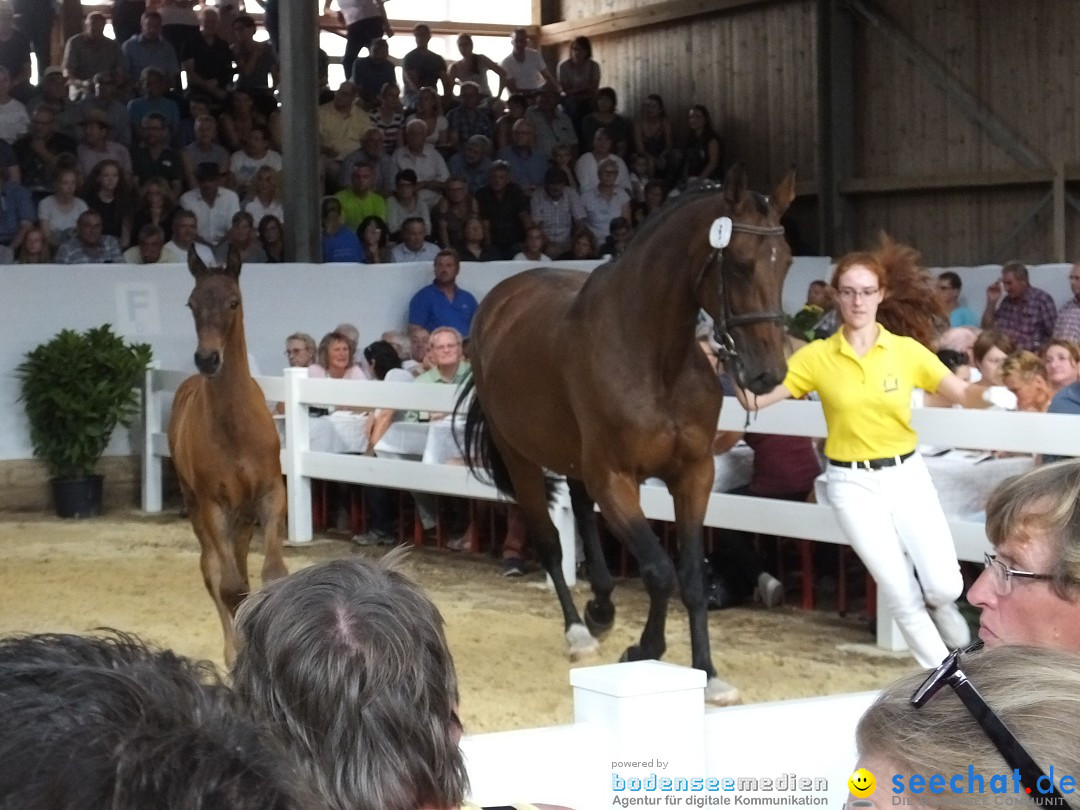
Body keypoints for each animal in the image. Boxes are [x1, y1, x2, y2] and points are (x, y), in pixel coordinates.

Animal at [167, 247, 287, 665]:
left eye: (233, 302)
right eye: (191, 303)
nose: (207, 359)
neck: (235, 427)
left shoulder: (270, 494)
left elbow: (271, 574)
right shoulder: (212, 504)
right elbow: (230, 586)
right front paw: (239, 657)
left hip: (243, 516)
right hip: (198, 507)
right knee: (213, 572)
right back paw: (231, 648)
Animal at [460, 163, 799, 704]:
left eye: (785, 262)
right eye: (740, 264)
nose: (768, 373)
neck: (653, 356)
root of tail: (499, 300)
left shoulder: (693, 475)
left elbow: (690, 576)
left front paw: (708, 671)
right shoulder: (616, 478)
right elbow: (658, 570)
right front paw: (645, 649)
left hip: (572, 454)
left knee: (579, 508)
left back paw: (601, 605)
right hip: (521, 457)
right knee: (550, 541)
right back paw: (579, 630)